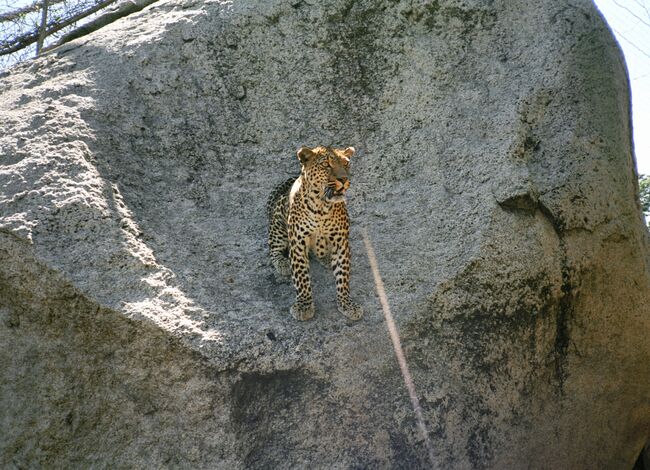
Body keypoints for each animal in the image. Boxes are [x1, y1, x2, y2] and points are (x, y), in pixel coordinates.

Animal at [266, 145, 362, 322]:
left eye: (346, 164)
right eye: (326, 165)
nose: (343, 179)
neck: (321, 207)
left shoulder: (341, 242)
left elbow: (343, 275)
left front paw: (347, 303)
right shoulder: (298, 242)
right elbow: (302, 277)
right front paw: (304, 305)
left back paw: (326, 259)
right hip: (278, 226)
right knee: (274, 248)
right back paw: (283, 263)